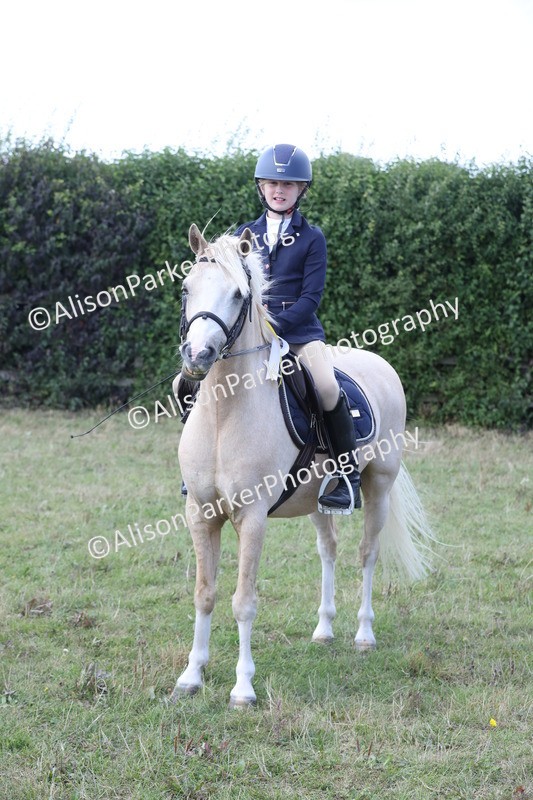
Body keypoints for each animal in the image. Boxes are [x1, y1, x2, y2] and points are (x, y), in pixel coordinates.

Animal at [170, 223, 434, 708]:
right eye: (186, 288)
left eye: (238, 294)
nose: (197, 356)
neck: (223, 414)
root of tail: (379, 363)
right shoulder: (199, 513)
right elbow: (204, 594)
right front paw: (191, 676)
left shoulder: (252, 517)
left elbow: (243, 600)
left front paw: (243, 688)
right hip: (315, 499)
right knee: (328, 549)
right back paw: (324, 629)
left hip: (379, 485)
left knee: (366, 553)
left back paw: (364, 635)